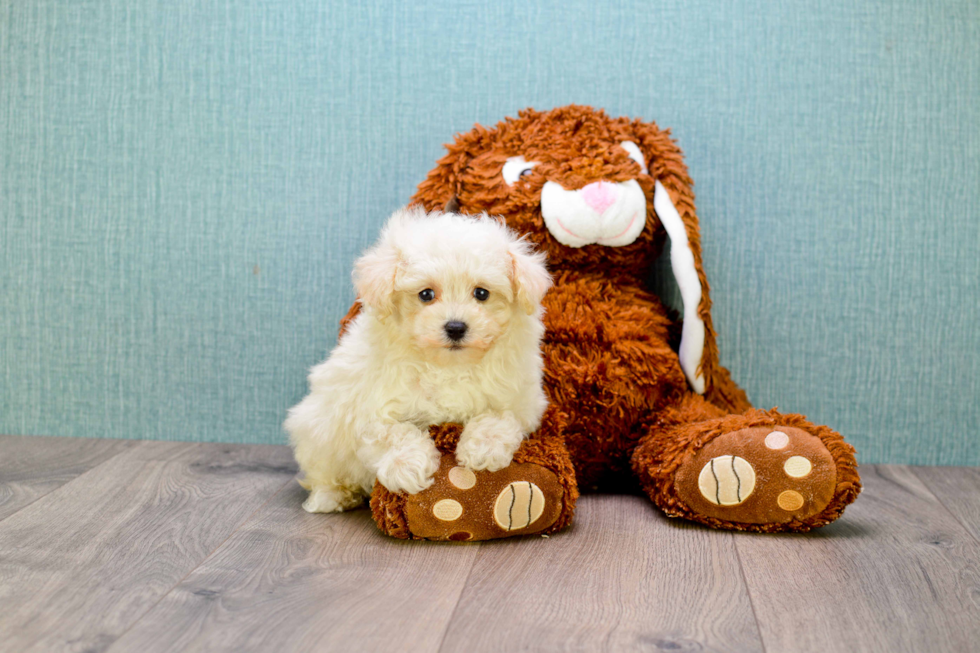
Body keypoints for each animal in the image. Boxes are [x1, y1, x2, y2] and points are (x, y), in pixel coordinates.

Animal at [288, 206, 556, 512]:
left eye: (482, 293)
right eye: (426, 294)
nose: (455, 327)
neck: (449, 366)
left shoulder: (521, 399)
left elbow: (500, 416)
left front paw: (484, 448)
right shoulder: (368, 406)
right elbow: (390, 432)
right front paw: (407, 468)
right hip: (317, 430)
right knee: (325, 474)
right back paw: (333, 496)